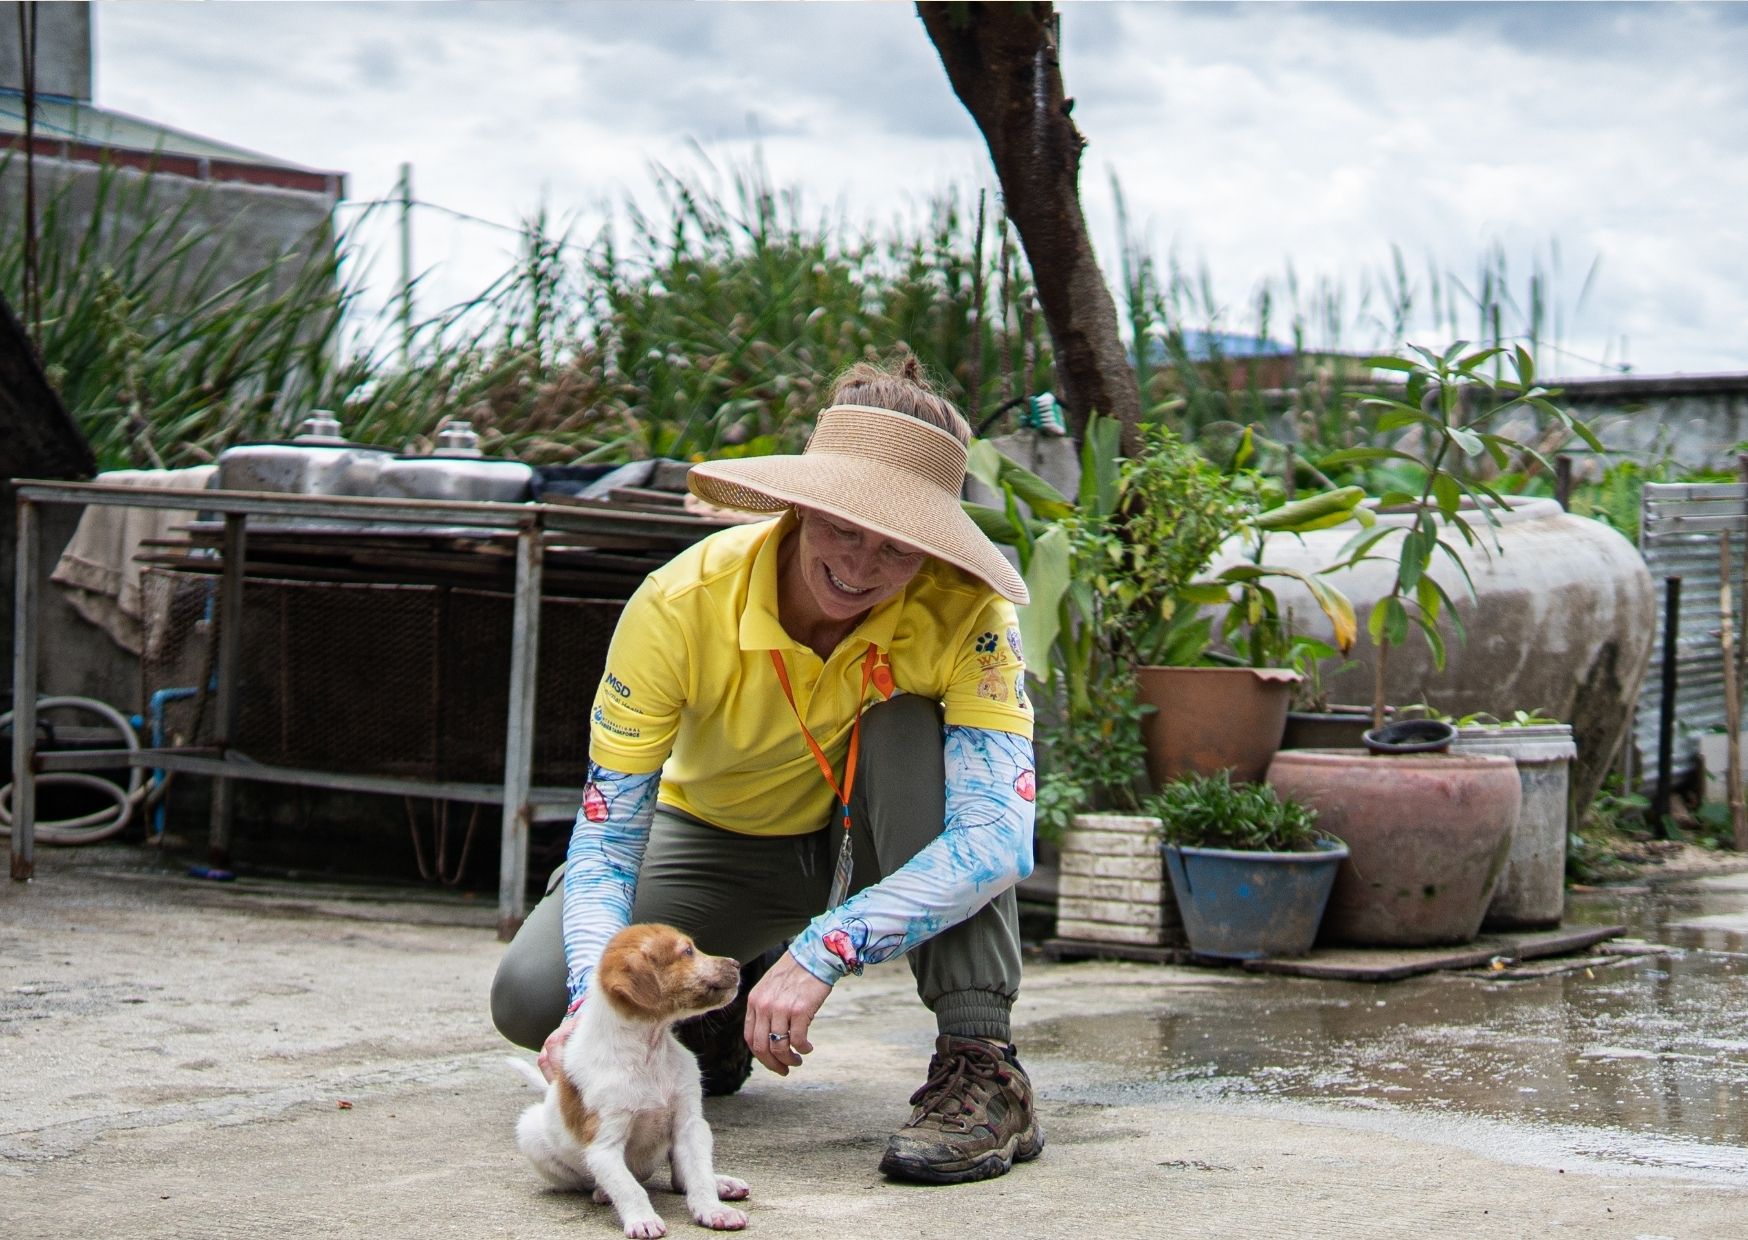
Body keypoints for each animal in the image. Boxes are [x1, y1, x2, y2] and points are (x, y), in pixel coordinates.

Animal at [485, 353, 1041, 1182]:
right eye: (842, 533)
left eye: (890, 550)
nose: (857, 570)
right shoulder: (651, 621)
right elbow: (609, 827)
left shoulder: (986, 623)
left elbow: (991, 829)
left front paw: (794, 982)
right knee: (530, 984)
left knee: (926, 756)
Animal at [506, 923, 751, 1231]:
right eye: (687, 951)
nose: (737, 964)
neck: (650, 1051)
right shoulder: (604, 1146)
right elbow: (628, 1187)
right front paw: (642, 1219)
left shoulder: (690, 1125)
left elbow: (699, 1175)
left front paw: (713, 1209)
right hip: (530, 1133)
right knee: (600, 1182)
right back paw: (601, 1193)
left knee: (681, 1179)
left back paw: (722, 1184)